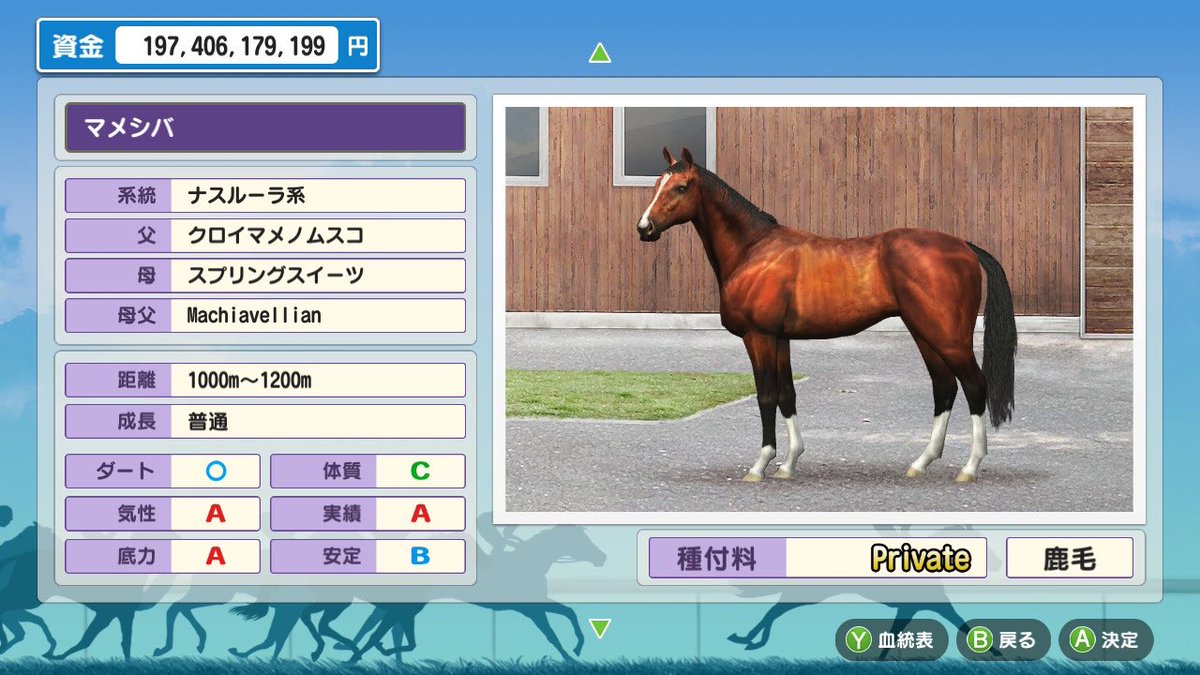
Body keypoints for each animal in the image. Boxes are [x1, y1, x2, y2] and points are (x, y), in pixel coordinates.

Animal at [636, 147, 1017, 483]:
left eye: (681, 187)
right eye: (656, 184)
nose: (644, 227)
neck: (753, 250)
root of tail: (964, 246)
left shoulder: (759, 337)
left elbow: (766, 396)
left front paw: (760, 465)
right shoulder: (780, 339)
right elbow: (787, 395)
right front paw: (789, 463)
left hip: (948, 337)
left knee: (974, 386)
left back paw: (970, 467)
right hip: (924, 333)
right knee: (944, 387)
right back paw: (921, 462)